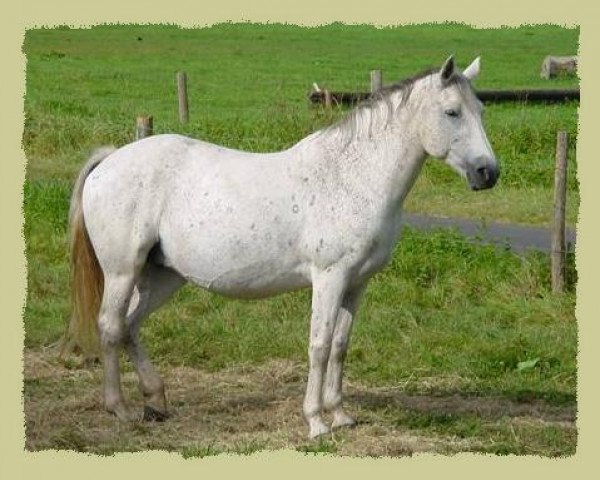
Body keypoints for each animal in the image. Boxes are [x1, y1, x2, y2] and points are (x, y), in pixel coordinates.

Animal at [67, 56, 496, 438]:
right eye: (452, 112)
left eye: (481, 110)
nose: (488, 173)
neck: (353, 176)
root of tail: (111, 159)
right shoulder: (329, 278)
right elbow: (319, 346)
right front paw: (317, 422)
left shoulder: (356, 284)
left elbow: (341, 345)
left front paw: (341, 415)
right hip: (123, 271)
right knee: (110, 326)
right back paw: (120, 409)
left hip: (164, 276)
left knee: (130, 325)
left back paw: (156, 400)